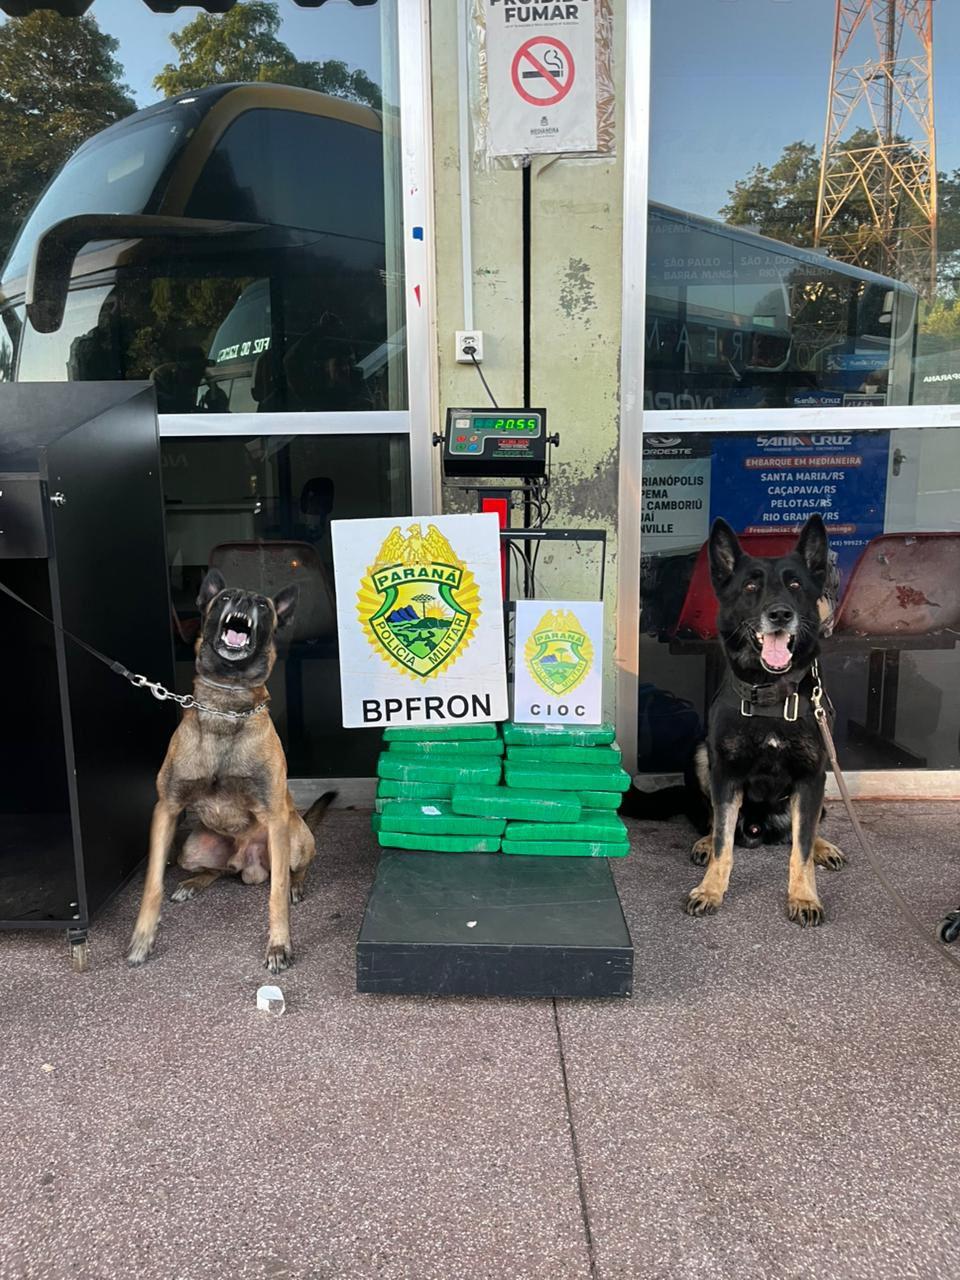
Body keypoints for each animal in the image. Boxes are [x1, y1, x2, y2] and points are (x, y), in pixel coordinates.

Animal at [127, 569, 333, 972]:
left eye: (263, 606)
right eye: (223, 599)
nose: (243, 600)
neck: (227, 702)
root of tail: (245, 862)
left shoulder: (275, 816)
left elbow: (276, 894)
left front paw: (278, 945)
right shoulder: (167, 809)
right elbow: (152, 884)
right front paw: (143, 939)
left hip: (293, 837)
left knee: (292, 871)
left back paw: (297, 884)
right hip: (191, 848)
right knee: (217, 870)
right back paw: (193, 884)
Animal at [681, 515, 846, 926]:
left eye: (796, 585)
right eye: (751, 585)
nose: (780, 614)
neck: (771, 694)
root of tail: (760, 827)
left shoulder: (811, 776)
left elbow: (800, 852)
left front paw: (804, 897)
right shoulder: (725, 772)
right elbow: (723, 842)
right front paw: (710, 890)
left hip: (823, 780)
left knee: (807, 830)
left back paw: (823, 846)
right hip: (701, 756)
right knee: (714, 820)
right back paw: (704, 841)